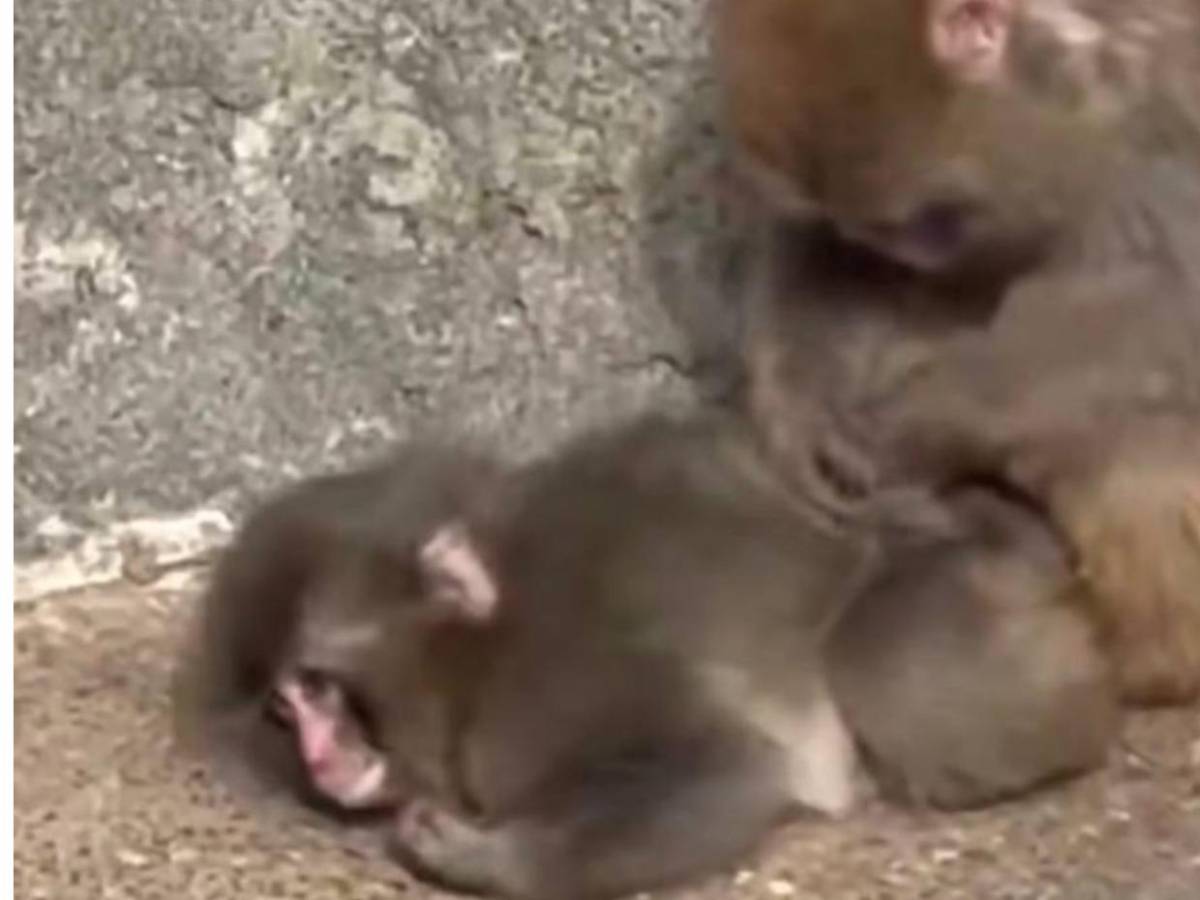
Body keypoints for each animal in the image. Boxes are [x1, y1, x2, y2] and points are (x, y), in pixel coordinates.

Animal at [179, 411, 1117, 898]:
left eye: (320, 687)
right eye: (285, 706)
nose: (318, 755)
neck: (482, 651)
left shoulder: (552, 689)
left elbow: (725, 767)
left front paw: (480, 857)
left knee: (888, 668)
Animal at [711, 0, 1200, 705]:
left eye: (933, 221)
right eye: (868, 229)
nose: (906, 260)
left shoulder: (1154, 116)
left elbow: (1151, 306)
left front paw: (914, 425)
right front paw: (802, 421)